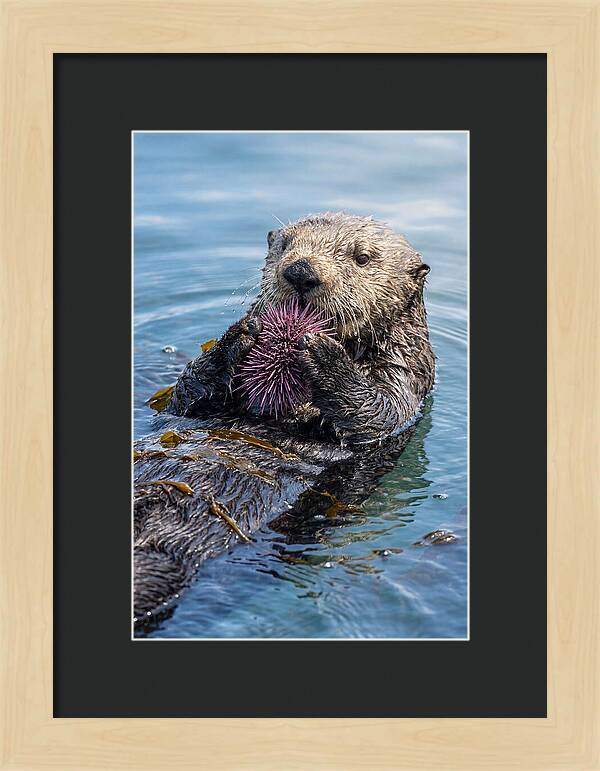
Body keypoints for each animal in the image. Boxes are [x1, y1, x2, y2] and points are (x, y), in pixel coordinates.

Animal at [134, 212, 435, 634]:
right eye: (285, 245)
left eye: (362, 257)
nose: (301, 272)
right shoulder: (187, 404)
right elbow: (184, 395)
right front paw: (238, 335)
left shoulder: (404, 379)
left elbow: (377, 414)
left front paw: (324, 355)